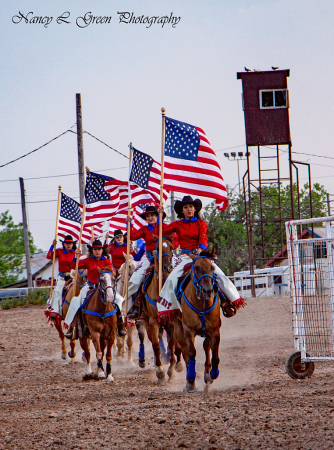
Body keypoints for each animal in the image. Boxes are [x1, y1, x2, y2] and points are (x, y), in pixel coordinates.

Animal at [140, 236, 184, 384]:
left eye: (171, 247)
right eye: (158, 248)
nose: (167, 267)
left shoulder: (172, 322)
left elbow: (172, 345)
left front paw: (172, 369)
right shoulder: (152, 322)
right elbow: (156, 345)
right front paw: (160, 371)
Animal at [172, 248, 222, 392]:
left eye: (212, 267)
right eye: (197, 268)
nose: (208, 290)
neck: (201, 305)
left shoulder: (214, 331)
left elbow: (214, 356)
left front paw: (211, 375)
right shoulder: (188, 330)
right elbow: (191, 353)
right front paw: (190, 381)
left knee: (206, 347)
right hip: (179, 329)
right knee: (185, 351)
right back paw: (190, 380)